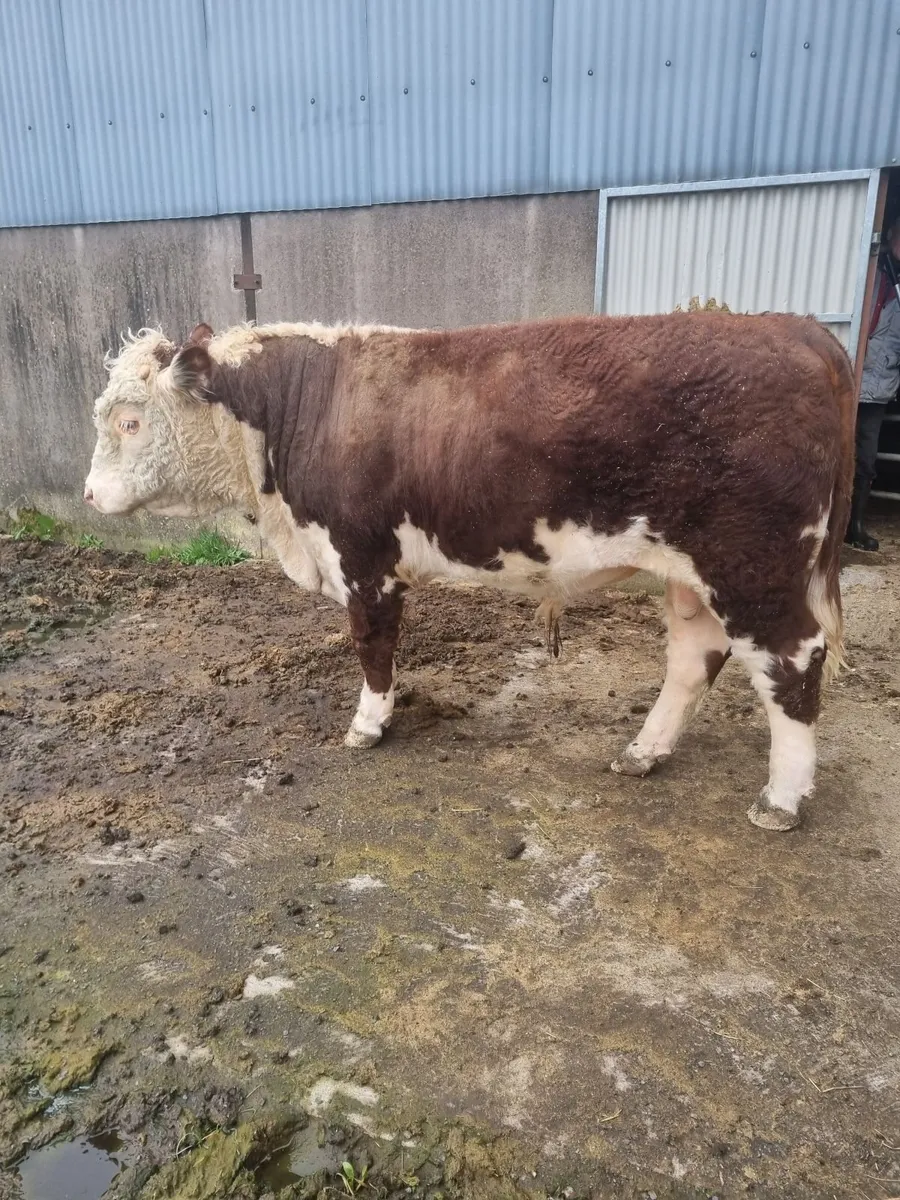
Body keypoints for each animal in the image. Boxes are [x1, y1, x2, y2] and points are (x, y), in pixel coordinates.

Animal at [84, 313, 854, 831]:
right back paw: (644, 751)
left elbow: (373, 646)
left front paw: (368, 725)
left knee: (794, 662)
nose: (88, 495)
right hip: (696, 574)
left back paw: (781, 798)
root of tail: (794, 327)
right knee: (696, 658)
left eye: (129, 421)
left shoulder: (363, 557)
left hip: (754, 564)